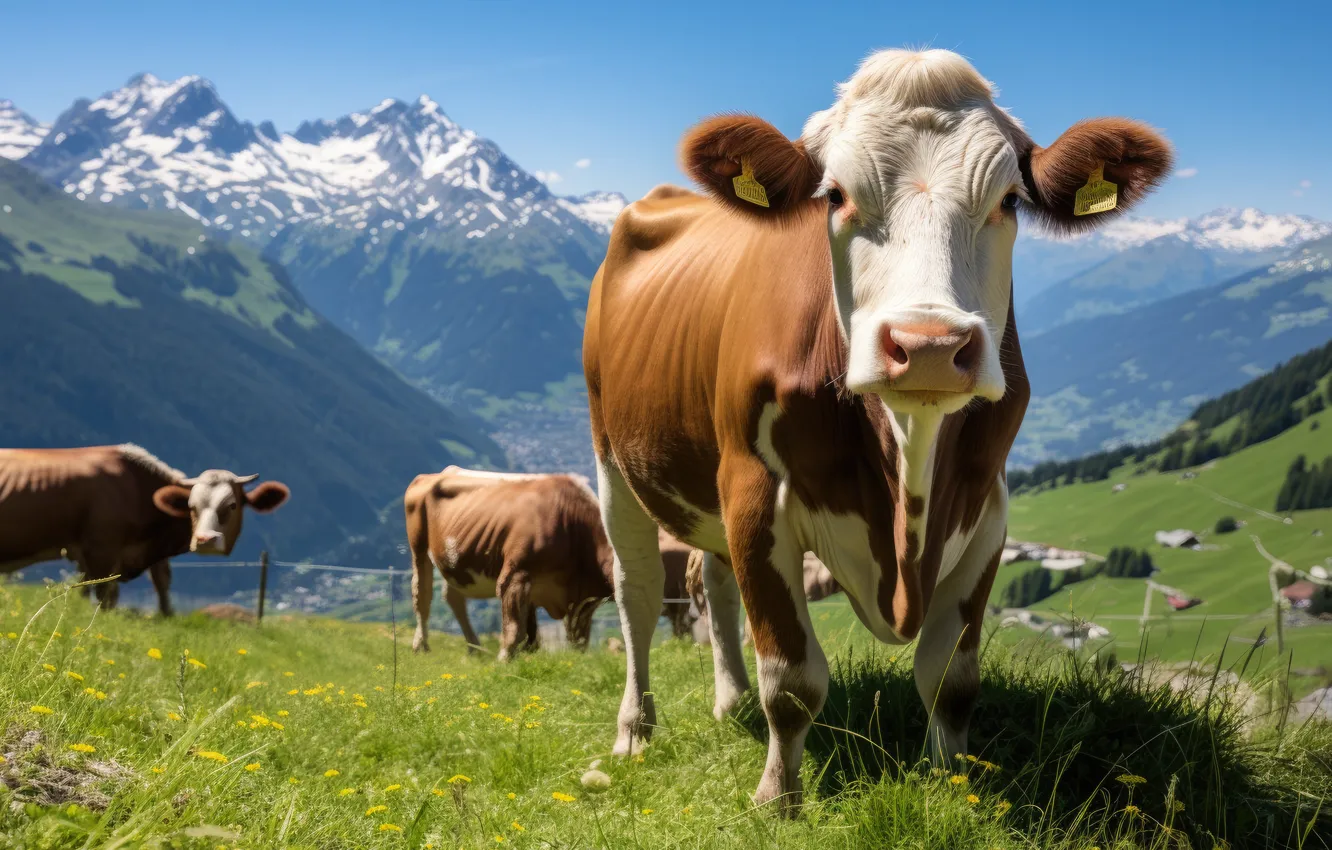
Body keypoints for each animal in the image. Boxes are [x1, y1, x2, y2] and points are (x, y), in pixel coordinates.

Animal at [0, 444, 291, 615]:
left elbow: (162, 585)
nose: (205, 539)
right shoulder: (100, 550)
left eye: (231, 505)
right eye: (192, 506)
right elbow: (106, 597)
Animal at [405, 467, 616, 661]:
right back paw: (420, 646)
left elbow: (574, 636)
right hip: (419, 548)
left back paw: (475, 649)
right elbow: (515, 626)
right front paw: (504, 659)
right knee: (422, 595)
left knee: (453, 597)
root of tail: (439, 473)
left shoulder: (581, 599)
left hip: (455, 561)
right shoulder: (516, 575)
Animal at [582, 48, 1171, 813]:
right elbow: (793, 680)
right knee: (639, 590)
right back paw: (635, 730)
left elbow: (951, 679)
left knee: (711, 578)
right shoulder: (753, 491)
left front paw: (951, 785)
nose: (928, 345)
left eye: (1010, 200)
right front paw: (779, 799)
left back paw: (728, 701)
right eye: (834, 195)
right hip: (612, 453)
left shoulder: (988, 505)